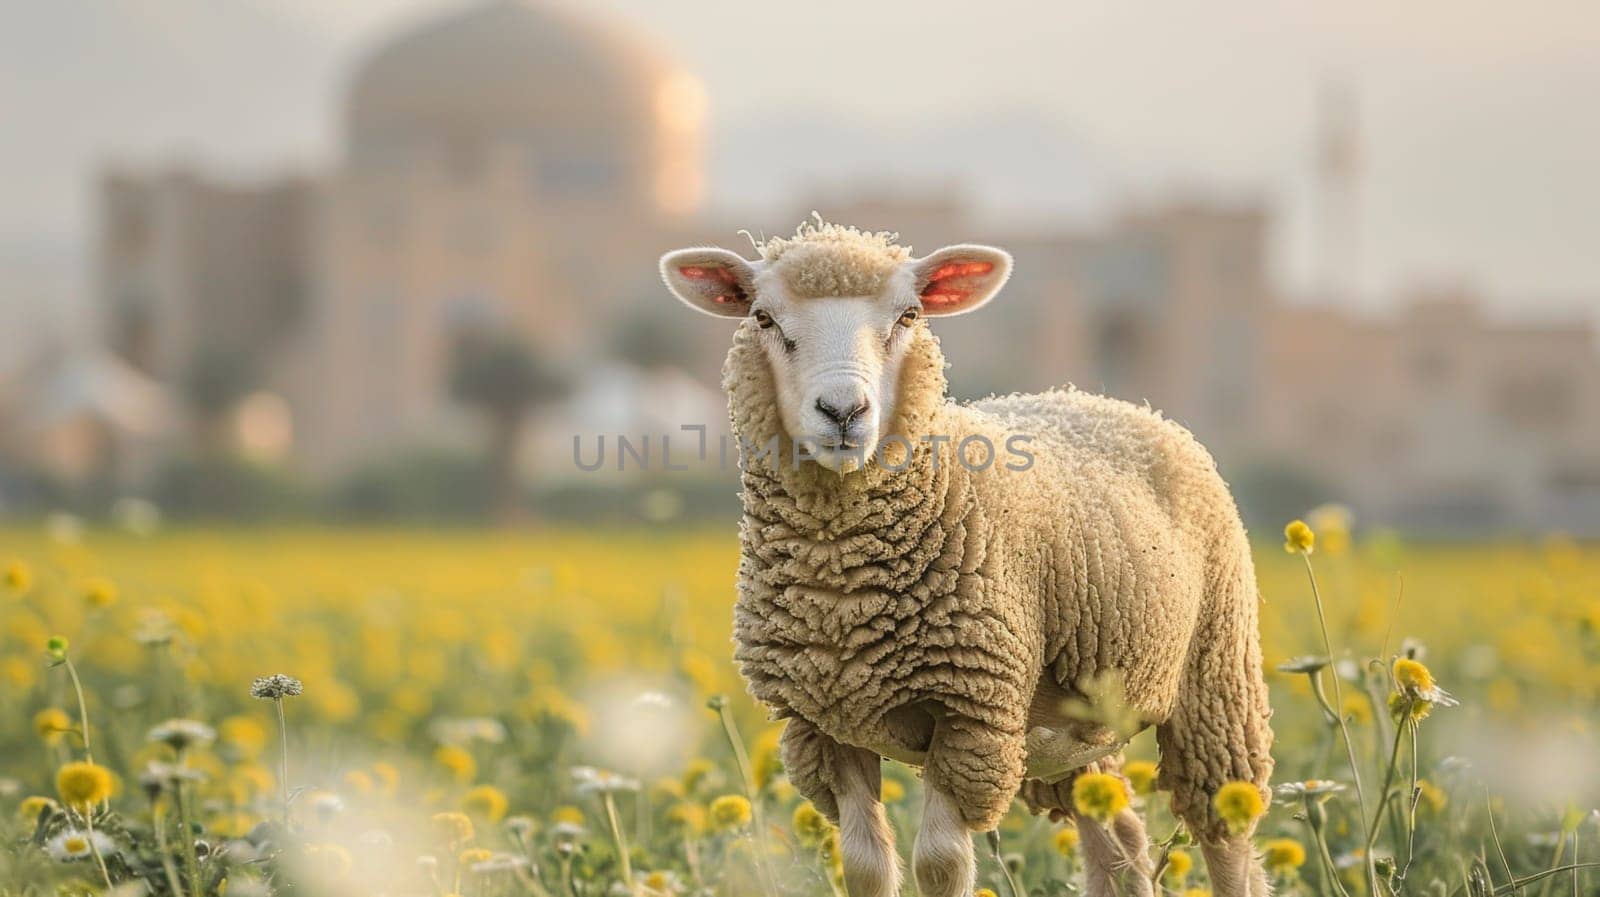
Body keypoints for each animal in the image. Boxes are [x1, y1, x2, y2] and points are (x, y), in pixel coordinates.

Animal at [656, 215, 1267, 895]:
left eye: (909, 315)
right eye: (763, 317)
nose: (843, 412)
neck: (843, 591)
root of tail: (1107, 401)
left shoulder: (970, 713)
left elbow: (940, 864)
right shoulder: (821, 726)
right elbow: (865, 866)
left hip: (1215, 675)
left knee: (1227, 832)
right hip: (1071, 729)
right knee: (1120, 841)